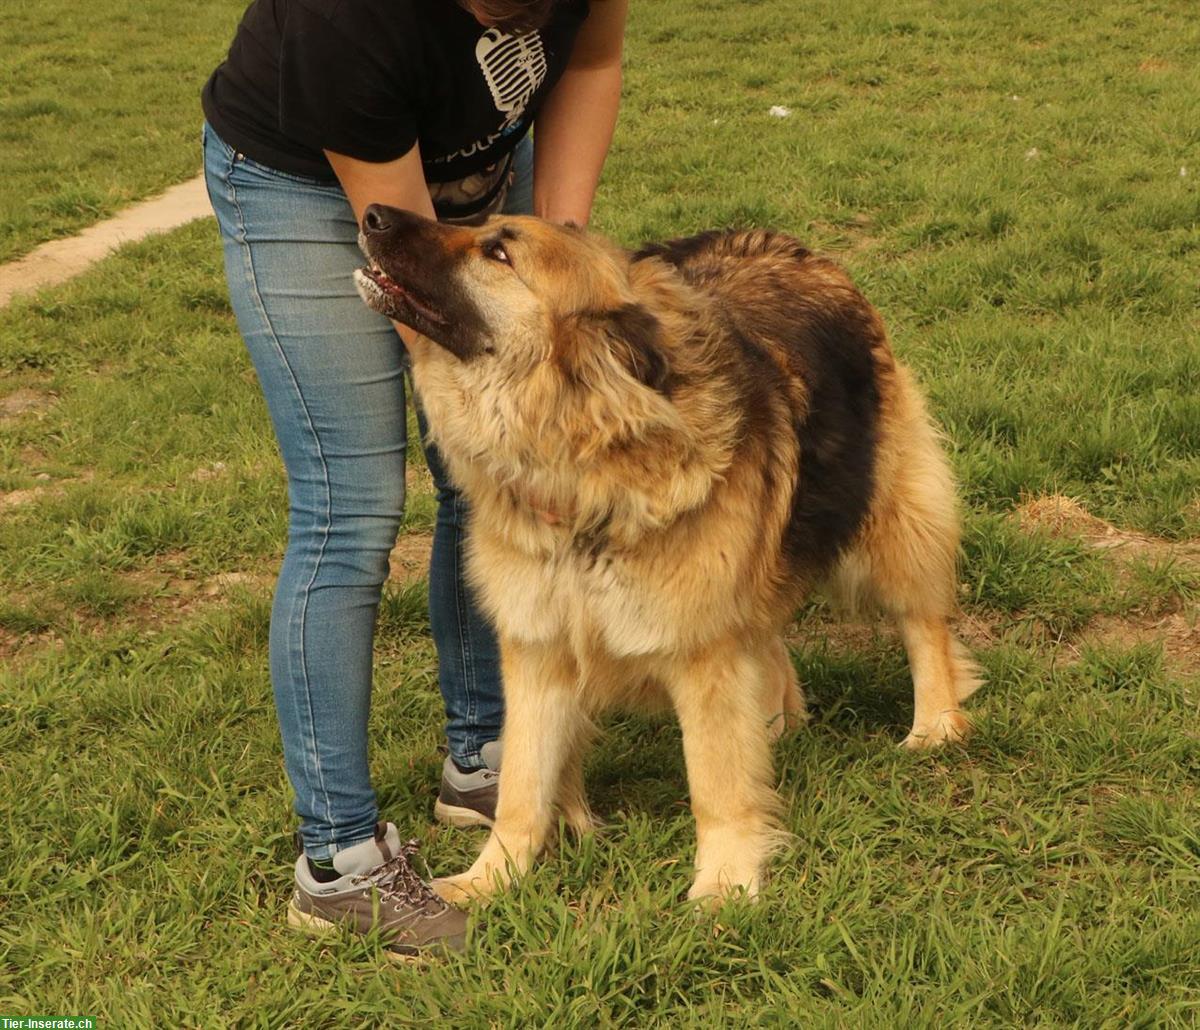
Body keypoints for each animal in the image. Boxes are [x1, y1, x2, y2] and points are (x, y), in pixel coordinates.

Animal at [350, 205, 979, 902]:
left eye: (500, 252)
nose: (373, 214)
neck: (582, 468)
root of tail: (792, 247)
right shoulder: (538, 651)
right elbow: (521, 784)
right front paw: (489, 880)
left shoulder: (701, 646)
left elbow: (715, 780)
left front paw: (725, 885)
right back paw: (778, 719)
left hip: (890, 514)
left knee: (921, 621)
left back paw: (935, 724)